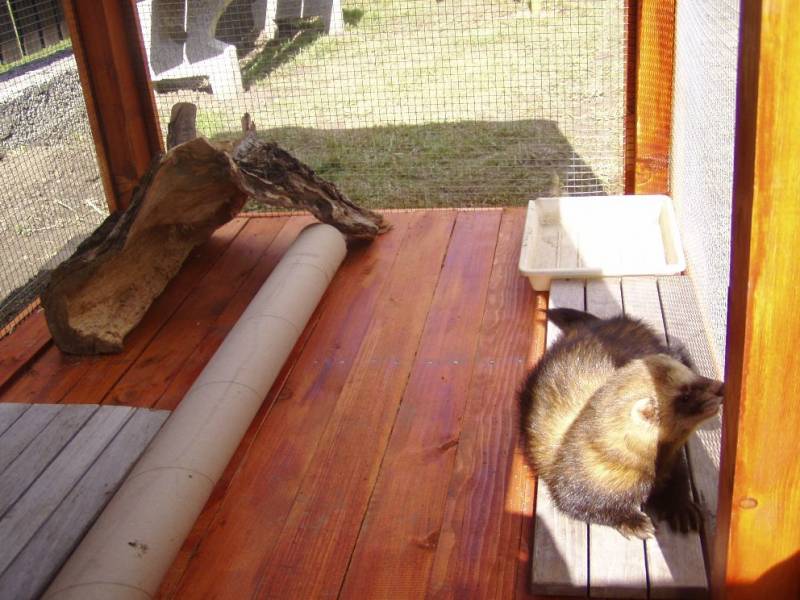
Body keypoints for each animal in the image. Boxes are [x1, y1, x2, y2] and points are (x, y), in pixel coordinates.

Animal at [519, 308, 723, 539]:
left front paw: (683, 509)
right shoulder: (574, 486)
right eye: (685, 396)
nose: (719, 387)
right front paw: (635, 523)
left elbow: (680, 480)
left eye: (692, 374)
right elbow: (587, 507)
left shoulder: (674, 461)